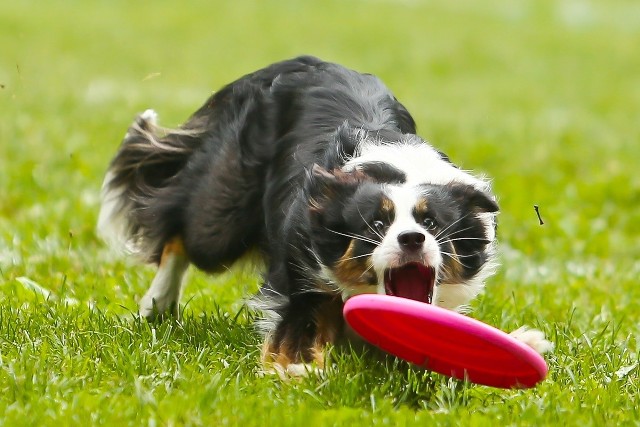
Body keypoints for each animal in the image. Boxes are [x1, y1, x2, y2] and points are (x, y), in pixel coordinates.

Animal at [97, 56, 552, 374]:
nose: (412, 240)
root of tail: (291, 63)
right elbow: (299, 338)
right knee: (185, 229)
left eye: (431, 223)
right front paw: (298, 370)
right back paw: (158, 302)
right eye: (376, 225)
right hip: (224, 212)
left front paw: (527, 340)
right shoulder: (302, 276)